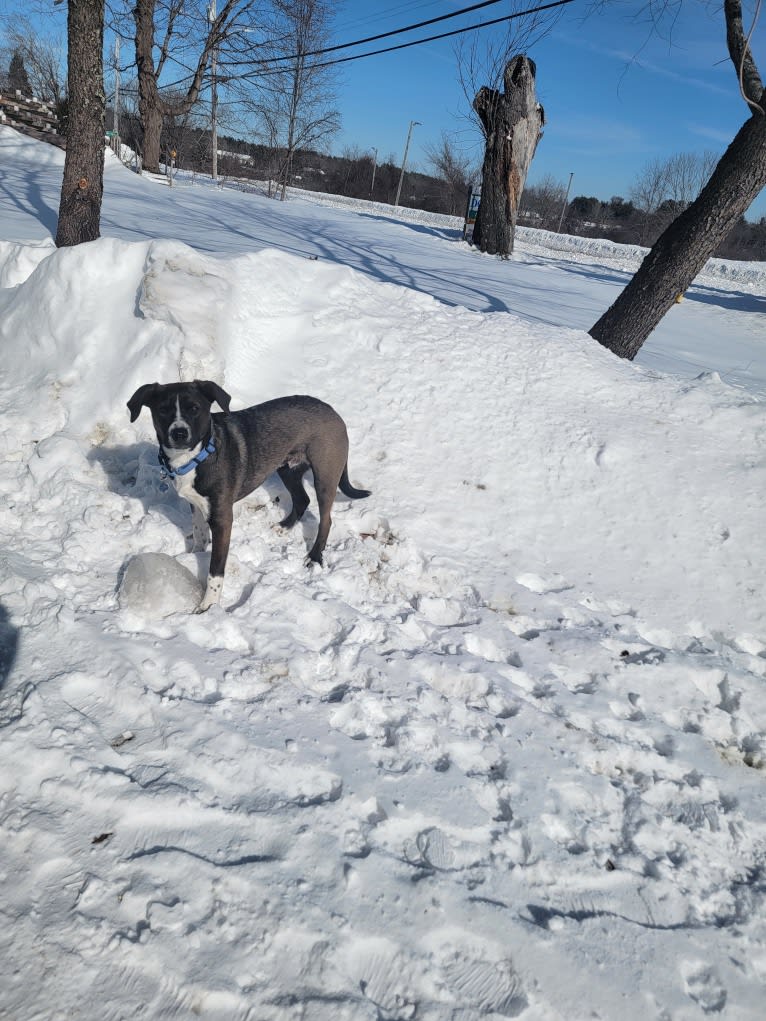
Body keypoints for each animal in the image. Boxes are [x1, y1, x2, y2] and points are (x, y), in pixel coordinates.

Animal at [126, 379, 371, 608]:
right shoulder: (195, 504)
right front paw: (195, 555)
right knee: (302, 499)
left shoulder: (222, 519)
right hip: (287, 468)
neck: (196, 457)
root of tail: (332, 410)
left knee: (326, 519)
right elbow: (199, 533)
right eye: (163, 410)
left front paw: (208, 606)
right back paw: (284, 527)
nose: (179, 433)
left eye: (194, 408)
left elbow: (215, 571)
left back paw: (314, 556)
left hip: (325, 475)